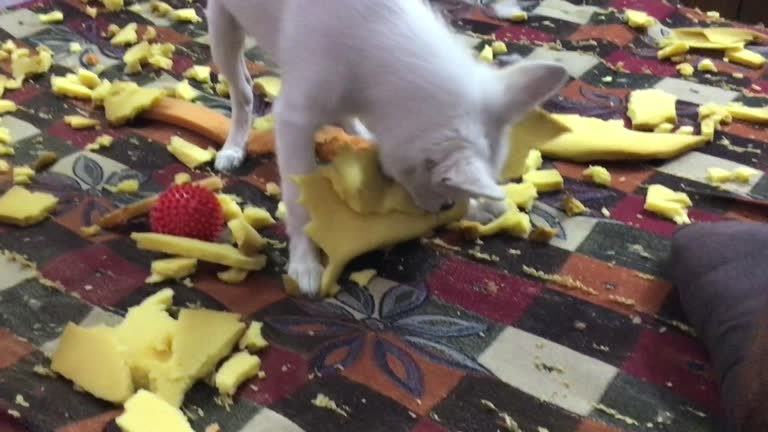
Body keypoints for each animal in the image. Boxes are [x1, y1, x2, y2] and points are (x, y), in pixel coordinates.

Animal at [207, 0, 568, 296]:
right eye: (444, 194)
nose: (440, 211)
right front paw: (305, 263)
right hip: (222, 28)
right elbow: (299, 202)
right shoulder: (294, 121)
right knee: (243, 92)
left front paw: (483, 204)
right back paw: (234, 147)